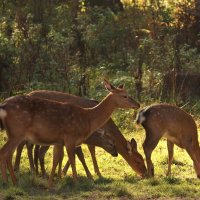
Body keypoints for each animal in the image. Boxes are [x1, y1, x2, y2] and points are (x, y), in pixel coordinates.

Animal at [0, 79, 145, 185]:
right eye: (125, 96)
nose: (138, 104)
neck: (88, 117)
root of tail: (4, 105)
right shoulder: (71, 137)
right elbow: (75, 158)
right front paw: (81, 179)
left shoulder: (60, 141)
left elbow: (58, 158)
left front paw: (53, 181)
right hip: (18, 132)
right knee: (7, 151)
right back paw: (12, 179)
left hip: (15, 134)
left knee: (12, 152)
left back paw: (16, 178)